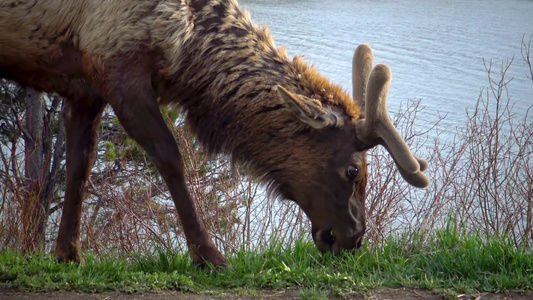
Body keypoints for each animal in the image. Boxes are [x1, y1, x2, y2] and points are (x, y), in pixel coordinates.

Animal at [0, 0, 428, 268]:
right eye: (353, 171)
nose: (354, 238)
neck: (187, 47)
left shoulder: (83, 85)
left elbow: (78, 168)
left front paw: (67, 253)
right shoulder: (118, 68)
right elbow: (171, 157)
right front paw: (208, 255)